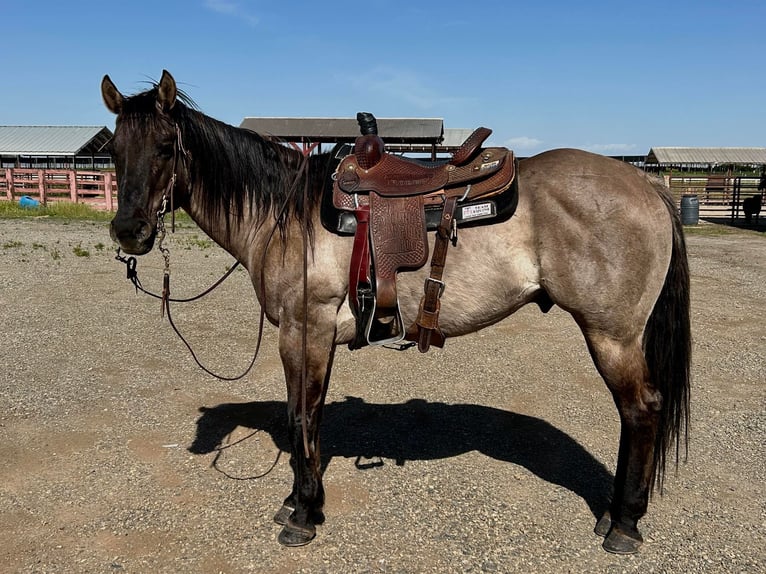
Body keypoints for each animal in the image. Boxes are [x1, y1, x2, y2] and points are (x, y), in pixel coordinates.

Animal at [99, 70, 692, 556]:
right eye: (113, 151)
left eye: (166, 147)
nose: (129, 230)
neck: (284, 213)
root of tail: (648, 184)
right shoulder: (314, 336)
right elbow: (309, 415)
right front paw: (301, 501)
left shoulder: (305, 329)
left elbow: (301, 416)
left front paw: (303, 516)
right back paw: (615, 516)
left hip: (612, 334)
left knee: (640, 410)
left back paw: (624, 525)